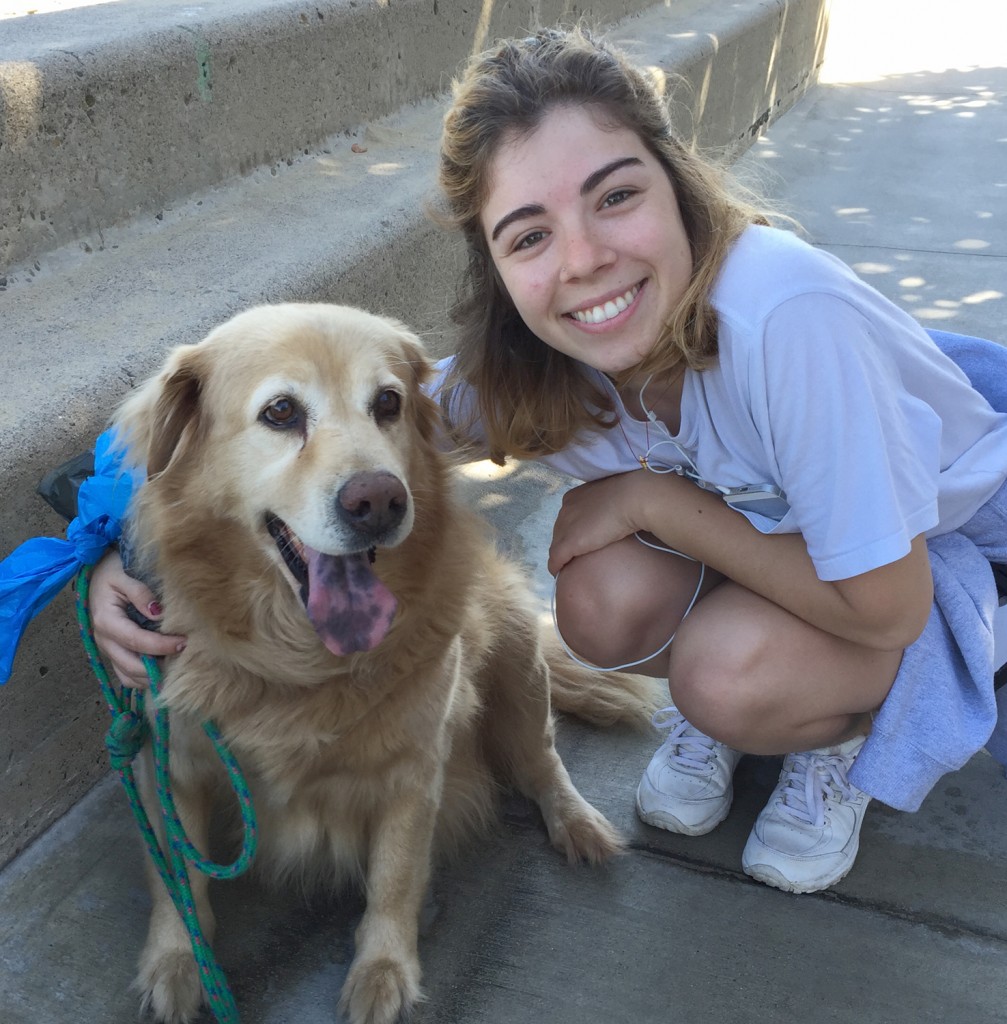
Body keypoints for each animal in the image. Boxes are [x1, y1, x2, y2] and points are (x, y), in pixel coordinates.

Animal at [114, 301, 655, 1024]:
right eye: (281, 412)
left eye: (388, 403)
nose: (378, 501)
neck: (300, 663)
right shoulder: (170, 763)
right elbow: (175, 873)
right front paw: (176, 961)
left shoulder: (413, 772)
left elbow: (395, 877)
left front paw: (383, 972)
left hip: (516, 657)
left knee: (540, 759)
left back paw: (577, 822)